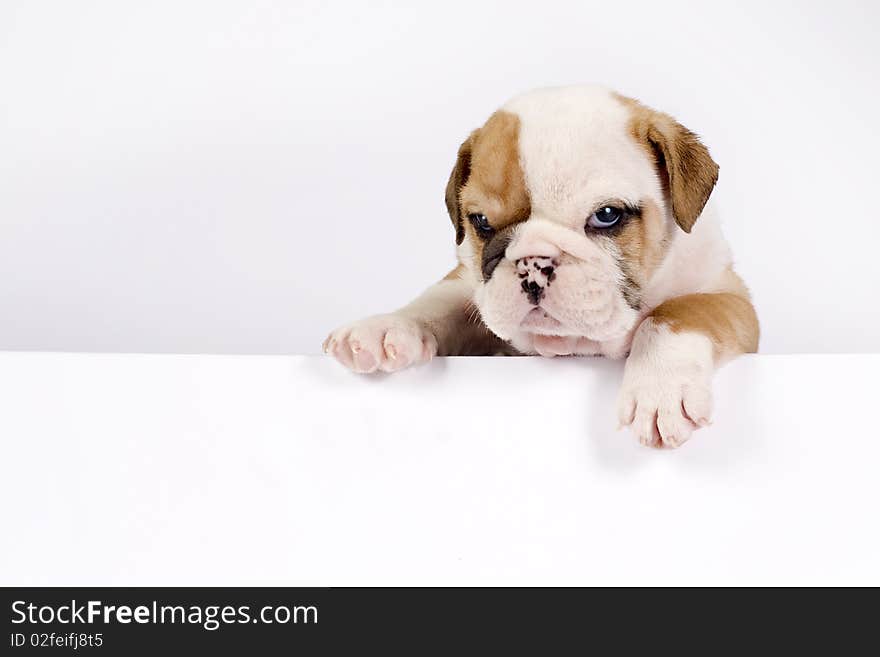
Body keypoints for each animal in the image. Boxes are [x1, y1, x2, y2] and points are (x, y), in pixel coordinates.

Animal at [324, 84, 756, 448]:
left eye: (607, 215)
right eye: (481, 222)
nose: (533, 263)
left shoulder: (728, 296)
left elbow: (680, 312)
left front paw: (660, 389)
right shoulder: (471, 286)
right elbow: (439, 300)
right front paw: (384, 328)